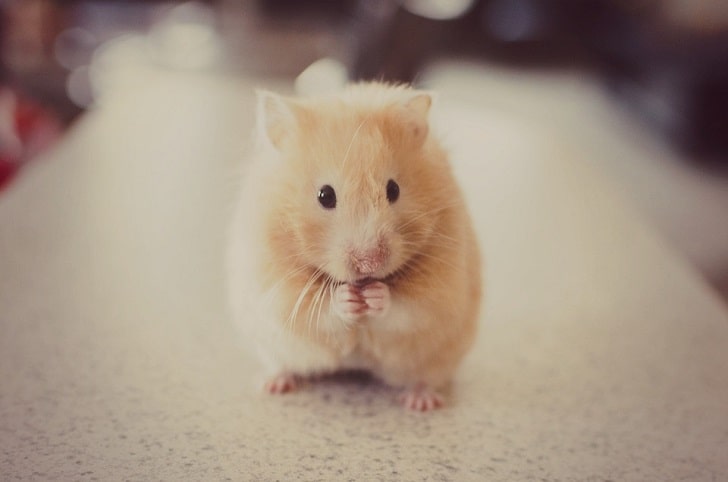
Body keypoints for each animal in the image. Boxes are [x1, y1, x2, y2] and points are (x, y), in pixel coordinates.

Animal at [227, 82, 482, 411]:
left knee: (426, 377)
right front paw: (348, 298)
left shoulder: (440, 290)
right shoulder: (276, 287)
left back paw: (420, 402)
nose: (369, 263)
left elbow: (407, 308)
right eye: (325, 195)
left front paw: (375, 296)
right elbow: (318, 309)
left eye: (393, 190)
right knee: (282, 363)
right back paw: (274, 384)